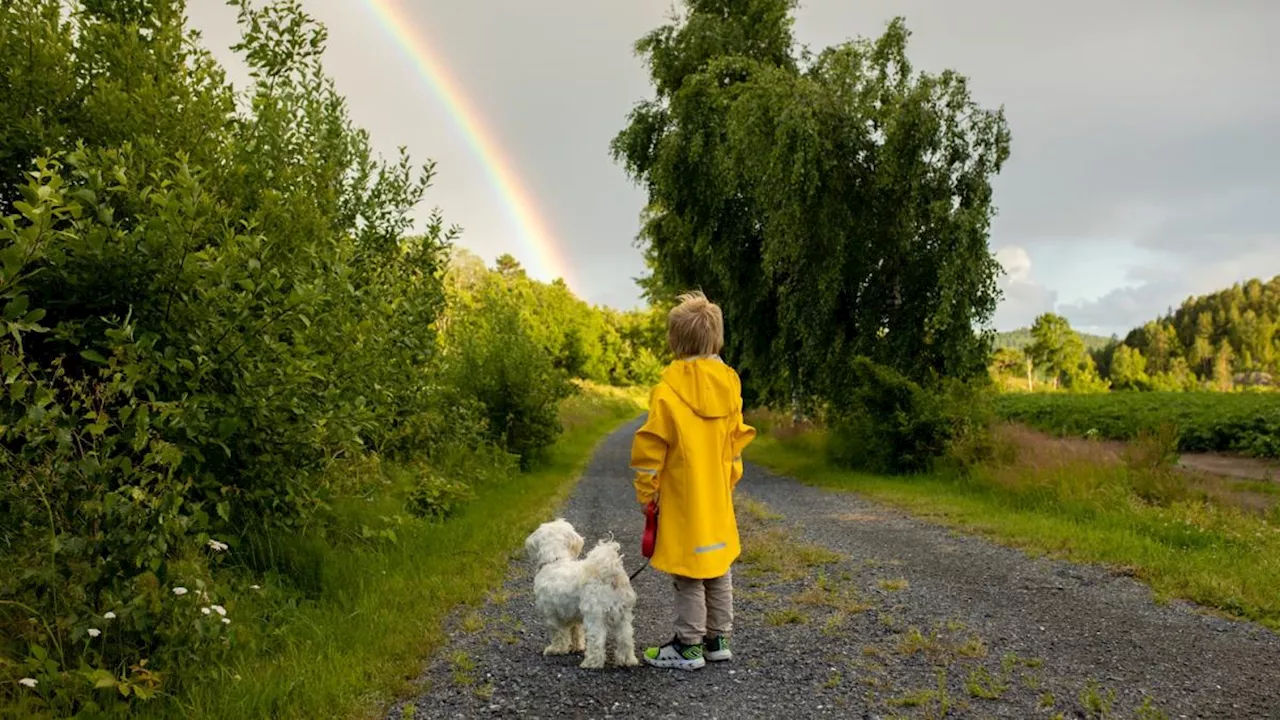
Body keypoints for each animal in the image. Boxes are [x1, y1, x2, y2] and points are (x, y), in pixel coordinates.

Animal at [522, 515, 637, 666]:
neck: (555, 561)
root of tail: (609, 575)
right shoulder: (573, 615)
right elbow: (576, 631)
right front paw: (576, 647)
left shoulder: (552, 615)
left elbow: (558, 635)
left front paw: (556, 649)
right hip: (623, 617)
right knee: (626, 639)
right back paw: (627, 661)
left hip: (595, 617)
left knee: (597, 642)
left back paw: (591, 663)